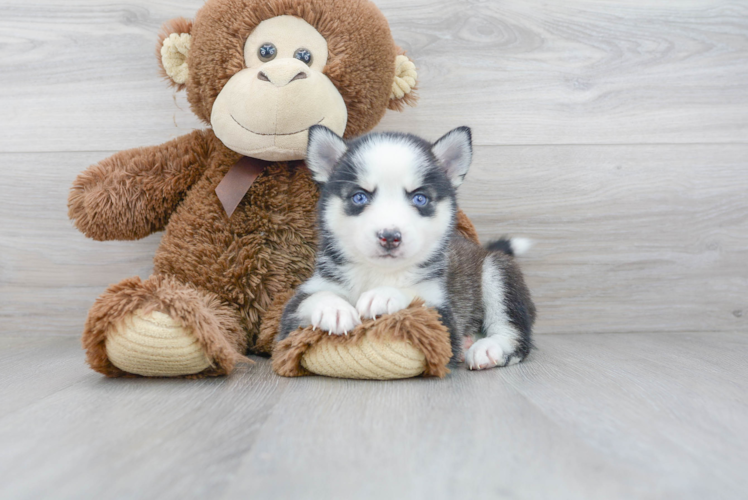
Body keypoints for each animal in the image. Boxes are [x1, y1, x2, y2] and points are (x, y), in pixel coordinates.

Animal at [278, 125, 536, 368]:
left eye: (419, 198)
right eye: (359, 197)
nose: (389, 236)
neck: (377, 273)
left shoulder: (443, 320)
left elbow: (415, 297)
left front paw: (384, 295)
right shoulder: (292, 317)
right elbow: (312, 298)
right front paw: (334, 308)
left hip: (497, 271)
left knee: (513, 334)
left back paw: (488, 348)